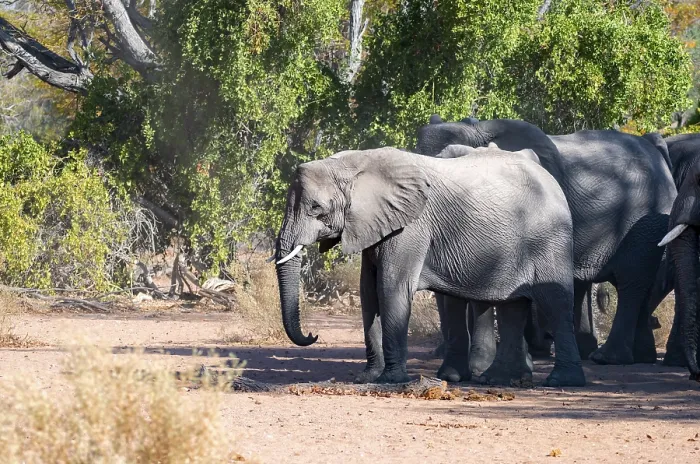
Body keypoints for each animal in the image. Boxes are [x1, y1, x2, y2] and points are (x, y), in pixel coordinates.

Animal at [273, 146, 585, 386]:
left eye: (316, 208)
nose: (313, 334)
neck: (354, 163)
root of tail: (552, 180)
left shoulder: (411, 226)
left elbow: (390, 288)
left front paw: (390, 380)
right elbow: (368, 293)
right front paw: (367, 378)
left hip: (550, 237)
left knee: (555, 301)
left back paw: (561, 382)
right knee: (512, 306)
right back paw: (498, 380)